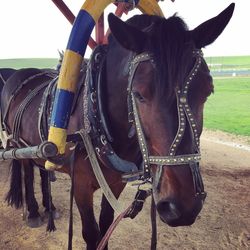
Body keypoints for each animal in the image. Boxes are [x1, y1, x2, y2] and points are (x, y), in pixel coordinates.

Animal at [0, 2, 234, 249]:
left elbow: (106, 225)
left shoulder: (114, 183)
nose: (182, 208)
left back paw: (50, 207)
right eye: (139, 94)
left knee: (44, 170)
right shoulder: (80, 186)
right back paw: (34, 212)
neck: (96, 117)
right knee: (28, 173)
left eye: (208, 91)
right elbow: (91, 233)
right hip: (19, 144)